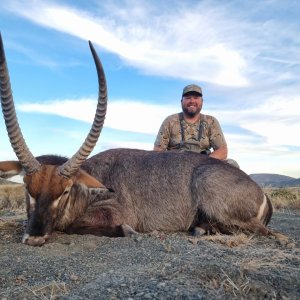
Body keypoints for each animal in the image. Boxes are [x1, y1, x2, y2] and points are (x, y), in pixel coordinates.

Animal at [0, 33, 272, 246]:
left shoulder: (113, 211)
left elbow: (79, 226)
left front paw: (128, 232)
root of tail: (261, 193)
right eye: (26, 186)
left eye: (65, 190)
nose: (34, 238)